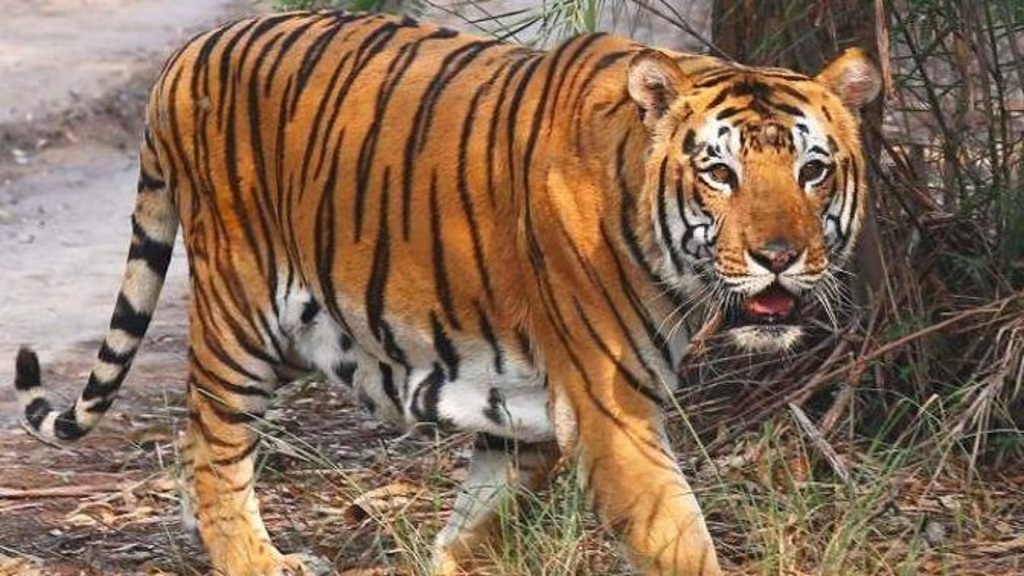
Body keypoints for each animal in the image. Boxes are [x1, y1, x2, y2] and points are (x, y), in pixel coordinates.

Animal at [13, 9, 880, 576]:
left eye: (813, 169)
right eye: (719, 173)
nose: (779, 257)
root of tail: (190, 52)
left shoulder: (530, 407)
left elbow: (483, 514)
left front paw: (448, 559)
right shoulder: (612, 408)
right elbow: (679, 536)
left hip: (301, 325)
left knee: (195, 432)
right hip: (243, 311)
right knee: (221, 440)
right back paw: (252, 558)